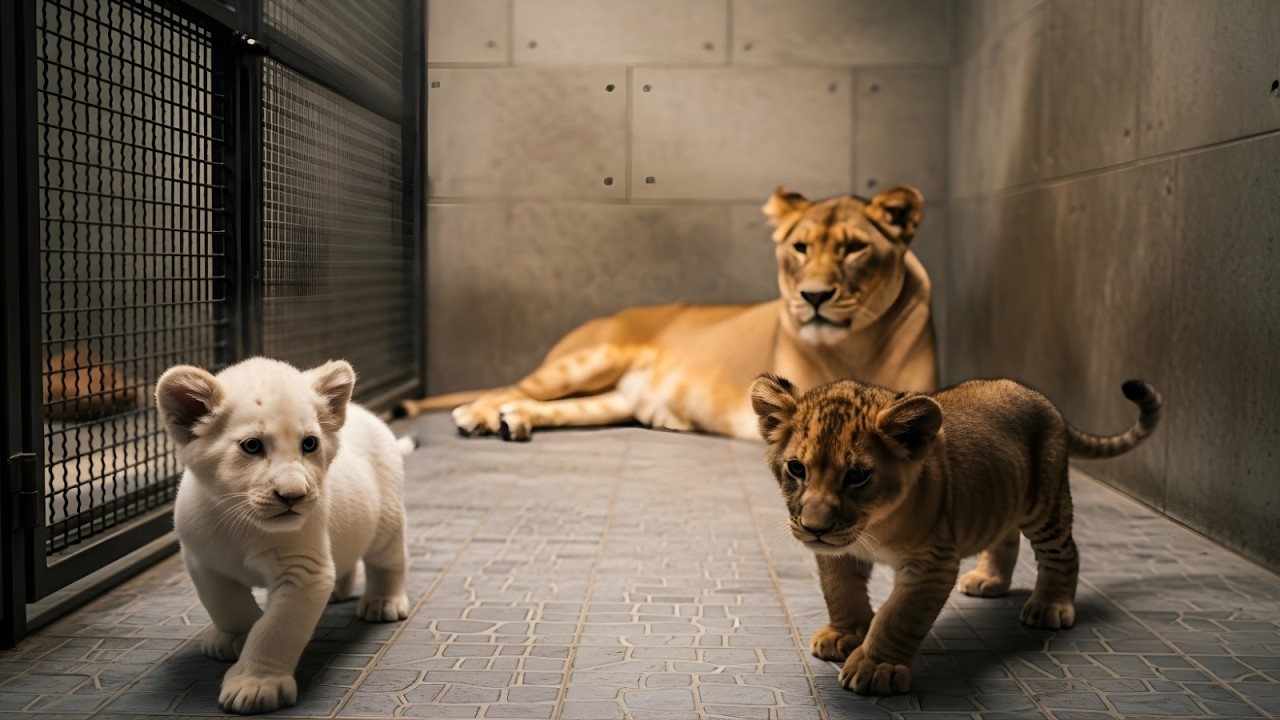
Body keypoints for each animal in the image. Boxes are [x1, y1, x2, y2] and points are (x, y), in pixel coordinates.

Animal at [398, 186, 938, 441]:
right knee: (508, 388)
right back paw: (478, 414)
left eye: (854, 249)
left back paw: (515, 422)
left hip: (612, 401)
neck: (855, 343)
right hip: (591, 359)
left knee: (545, 405)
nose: (814, 296)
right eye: (801, 247)